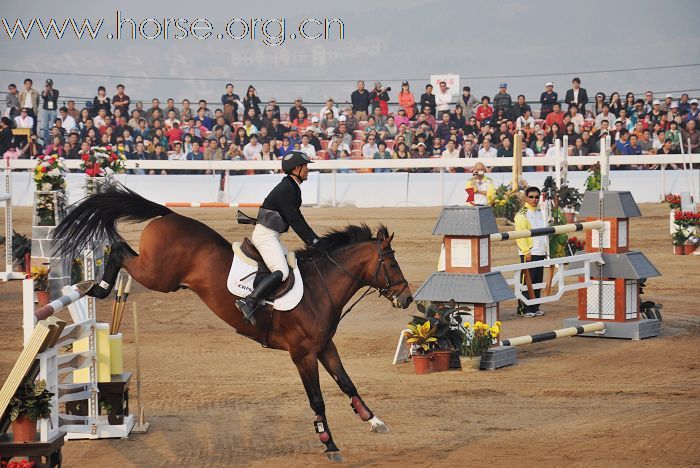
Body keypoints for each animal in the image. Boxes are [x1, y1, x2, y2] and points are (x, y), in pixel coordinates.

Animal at [56, 184, 416, 460]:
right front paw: (329, 444)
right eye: (392, 264)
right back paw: (98, 287)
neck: (321, 287)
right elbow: (317, 399)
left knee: (121, 249)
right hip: (159, 275)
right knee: (118, 249)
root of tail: (170, 215)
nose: (407, 299)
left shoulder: (324, 346)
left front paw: (373, 421)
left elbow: (347, 384)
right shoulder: (302, 354)